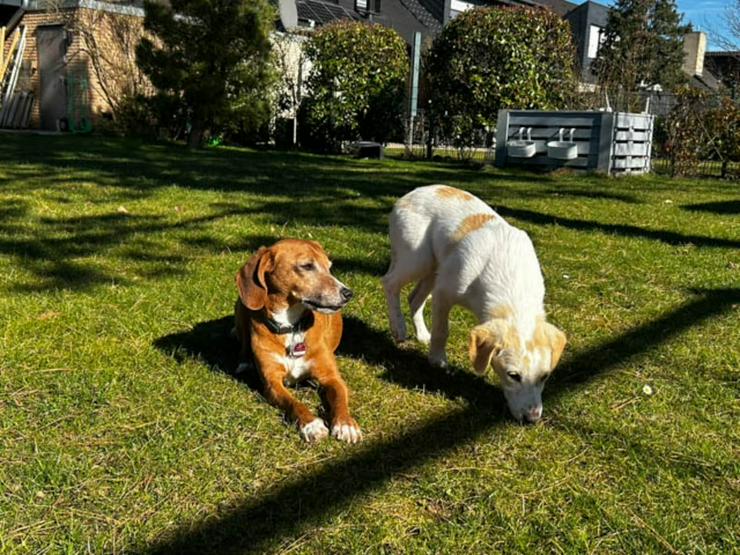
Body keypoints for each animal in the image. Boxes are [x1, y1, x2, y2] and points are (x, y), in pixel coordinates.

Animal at [234, 239, 362, 444]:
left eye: (329, 267)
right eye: (307, 266)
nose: (348, 293)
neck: (291, 326)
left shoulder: (332, 377)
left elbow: (340, 398)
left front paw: (346, 424)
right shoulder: (272, 383)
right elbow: (294, 403)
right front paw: (311, 424)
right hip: (242, 306)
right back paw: (244, 362)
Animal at [382, 185, 568, 424]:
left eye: (545, 376)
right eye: (513, 376)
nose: (531, 419)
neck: (513, 289)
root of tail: (414, 192)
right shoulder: (444, 293)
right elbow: (442, 331)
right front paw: (438, 360)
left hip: (433, 269)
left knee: (414, 298)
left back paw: (422, 334)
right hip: (417, 260)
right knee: (390, 283)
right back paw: (399, 327)